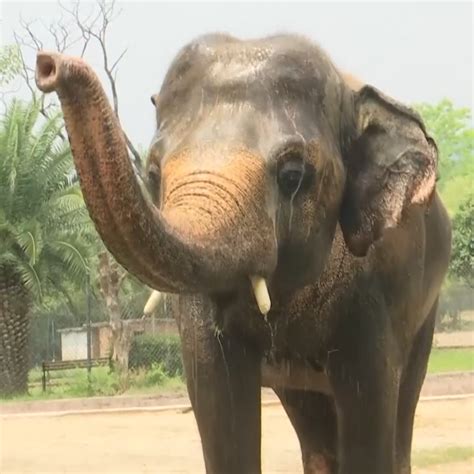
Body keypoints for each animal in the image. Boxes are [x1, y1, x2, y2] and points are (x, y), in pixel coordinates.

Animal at [36, 34, 452, 474]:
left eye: (293, 175)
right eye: (152, 174)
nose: (49, 66)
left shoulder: (378, 288)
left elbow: (369, 398)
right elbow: (218, 396)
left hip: (425, 309)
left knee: (401, 403)